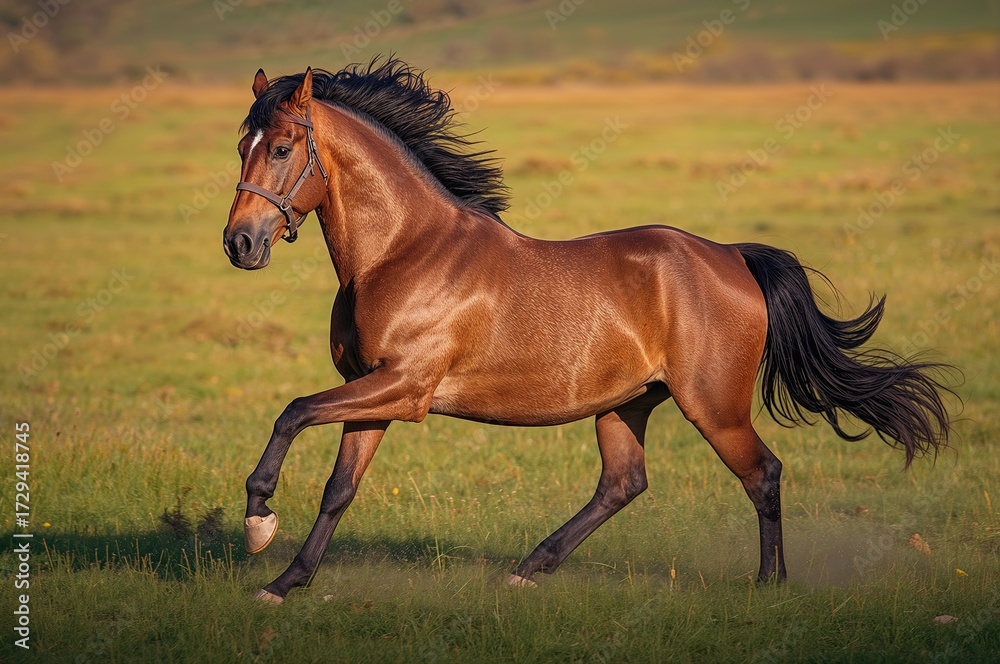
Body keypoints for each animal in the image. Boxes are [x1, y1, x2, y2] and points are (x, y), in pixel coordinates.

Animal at [222, 58, 954, 604]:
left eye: (282, 148)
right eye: (240, 146)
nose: (240, 243)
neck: (404, 252)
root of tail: (731, 256)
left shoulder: (405, 388)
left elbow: (292, 412)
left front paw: (258, 521)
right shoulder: (374, 391)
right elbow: (338, 489)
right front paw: (284, 582)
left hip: (712, 405)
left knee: (762, 472)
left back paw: (768, 583)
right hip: (625, 403)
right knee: (624, 483)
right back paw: (529, 569)